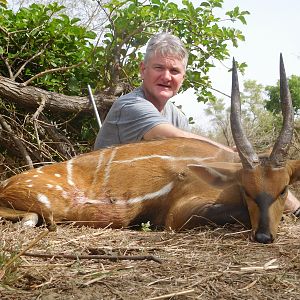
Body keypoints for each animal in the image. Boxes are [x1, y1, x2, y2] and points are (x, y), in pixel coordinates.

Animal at [0, 55, 298, 244]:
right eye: (247, 190)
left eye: (283, 189)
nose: (264, 237)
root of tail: (7, 183)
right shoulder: (177, 214)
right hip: (47, 205)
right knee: (33, 217)